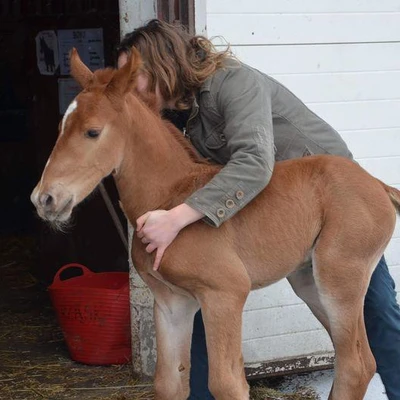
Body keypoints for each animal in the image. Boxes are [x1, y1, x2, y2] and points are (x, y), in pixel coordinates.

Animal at [32, 50, 400, 400]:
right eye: (61, 128)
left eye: (93, 131)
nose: (44, 199)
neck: (171, 197)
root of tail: (379, 185)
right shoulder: (171, 302)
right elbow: (169, 383)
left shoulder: (225, 294)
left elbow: (226, 383)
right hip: (309, 281)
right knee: (359, 360)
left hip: (339, 278)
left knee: (354, 364)